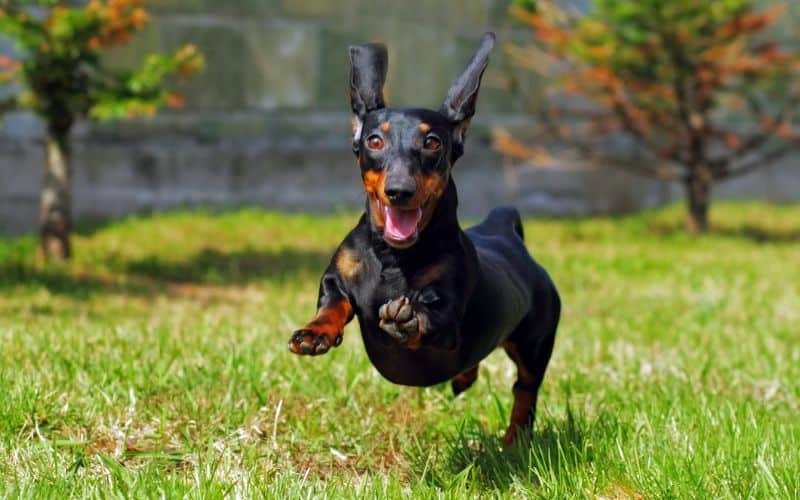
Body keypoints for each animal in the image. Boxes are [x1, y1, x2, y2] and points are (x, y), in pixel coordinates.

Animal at [290, 32, 564, 446]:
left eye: (433, 142)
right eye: (374, 141)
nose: (399, 191)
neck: (394, 257)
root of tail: (504, 231)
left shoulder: (447, 314)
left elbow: (431, 319)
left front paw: (407, 319)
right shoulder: (336, 278)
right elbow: (333, 303)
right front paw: (315, 332)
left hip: (535, 343)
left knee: (525, 390)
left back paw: (514, 441)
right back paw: (465, 379)